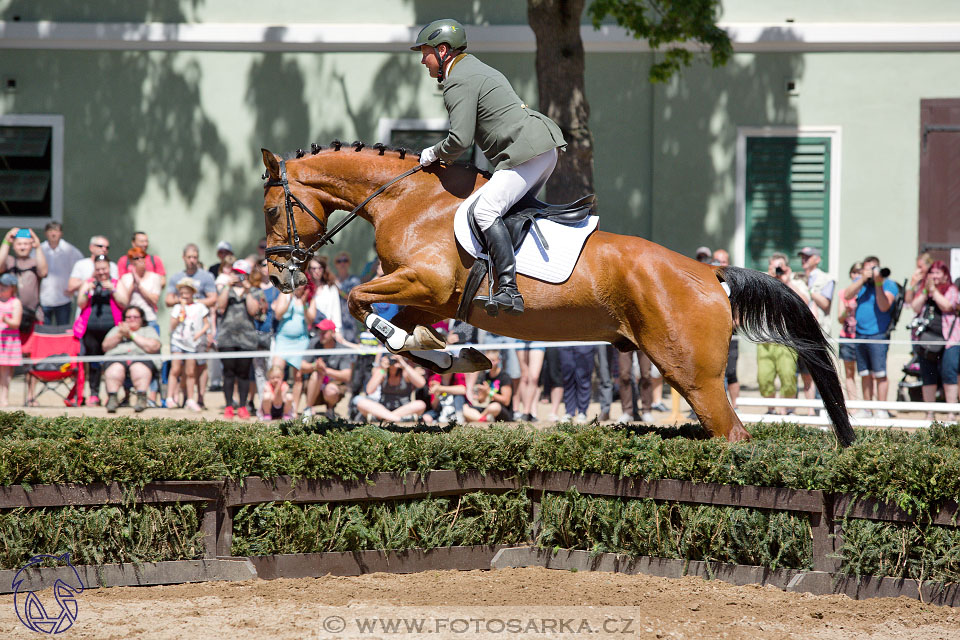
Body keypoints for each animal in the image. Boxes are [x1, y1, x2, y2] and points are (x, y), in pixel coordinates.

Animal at [260, 142, 856, 448]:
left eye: (269, 210)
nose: (279, 277)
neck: (405, 198)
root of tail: (712, 276)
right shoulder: (426, 296)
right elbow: (402, 336)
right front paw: (456, 356)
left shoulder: (425, 281)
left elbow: (360, 304)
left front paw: (449, 353)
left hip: (693, 374)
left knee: (733, 434)